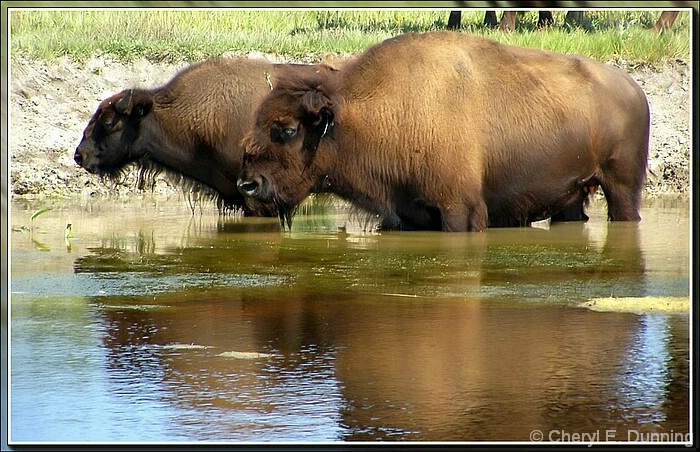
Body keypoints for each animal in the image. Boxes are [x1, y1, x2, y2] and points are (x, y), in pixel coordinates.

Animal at [238, 30, 648, 233]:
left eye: (287, 129)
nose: (248, 184)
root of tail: (634, 88)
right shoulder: (404, 214)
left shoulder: (459, 209)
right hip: (572, 198)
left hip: (622, 188)